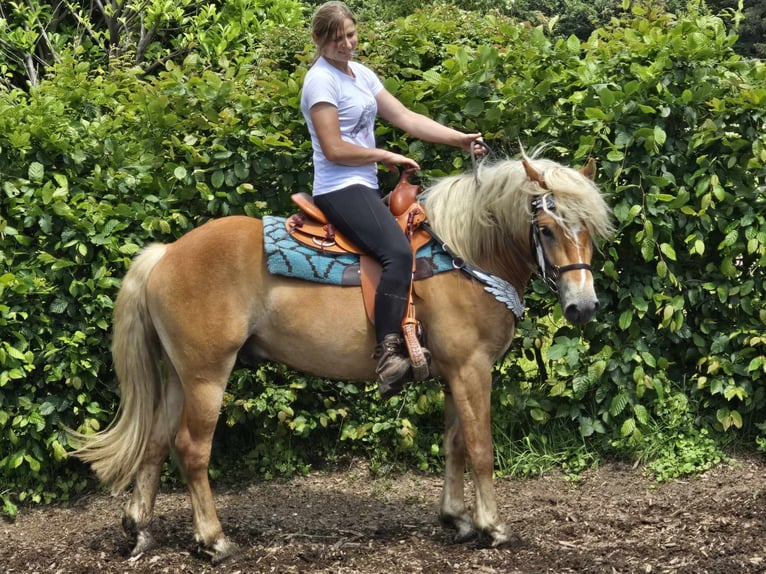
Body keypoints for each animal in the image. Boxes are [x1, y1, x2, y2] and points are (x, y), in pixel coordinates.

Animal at [72, 154, 616, 568]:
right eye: (546, 228)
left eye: (589, 228)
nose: (583, 306)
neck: (465, 255)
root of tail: (166, 254)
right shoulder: (471, 368)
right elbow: (481, 447)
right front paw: (492, 526)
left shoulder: (452, 374)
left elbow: (455, 445)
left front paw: (456, 518)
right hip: (207, 375)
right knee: (191, 448)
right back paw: (214, 540)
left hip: (178, 375)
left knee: (157, 441)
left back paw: (140, 529)